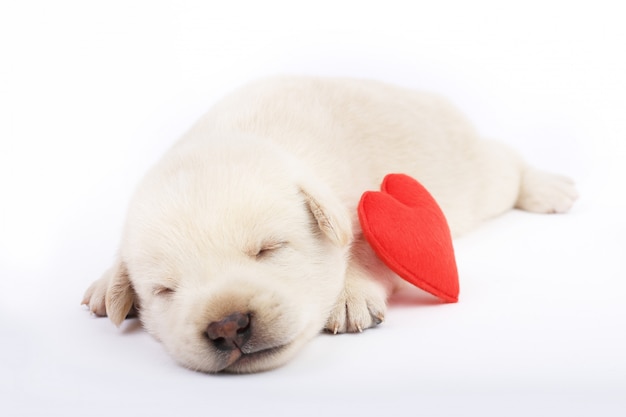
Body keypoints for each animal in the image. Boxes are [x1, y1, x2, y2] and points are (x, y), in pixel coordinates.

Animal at [80, 76, 576, 372]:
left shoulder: (363, 203)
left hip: (474, 175)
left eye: (269, 249)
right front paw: (107, 285)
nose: (227, 325)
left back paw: (550, 187)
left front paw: (349, 293)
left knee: (508, 163)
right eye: (165, 290)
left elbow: (361, 247)